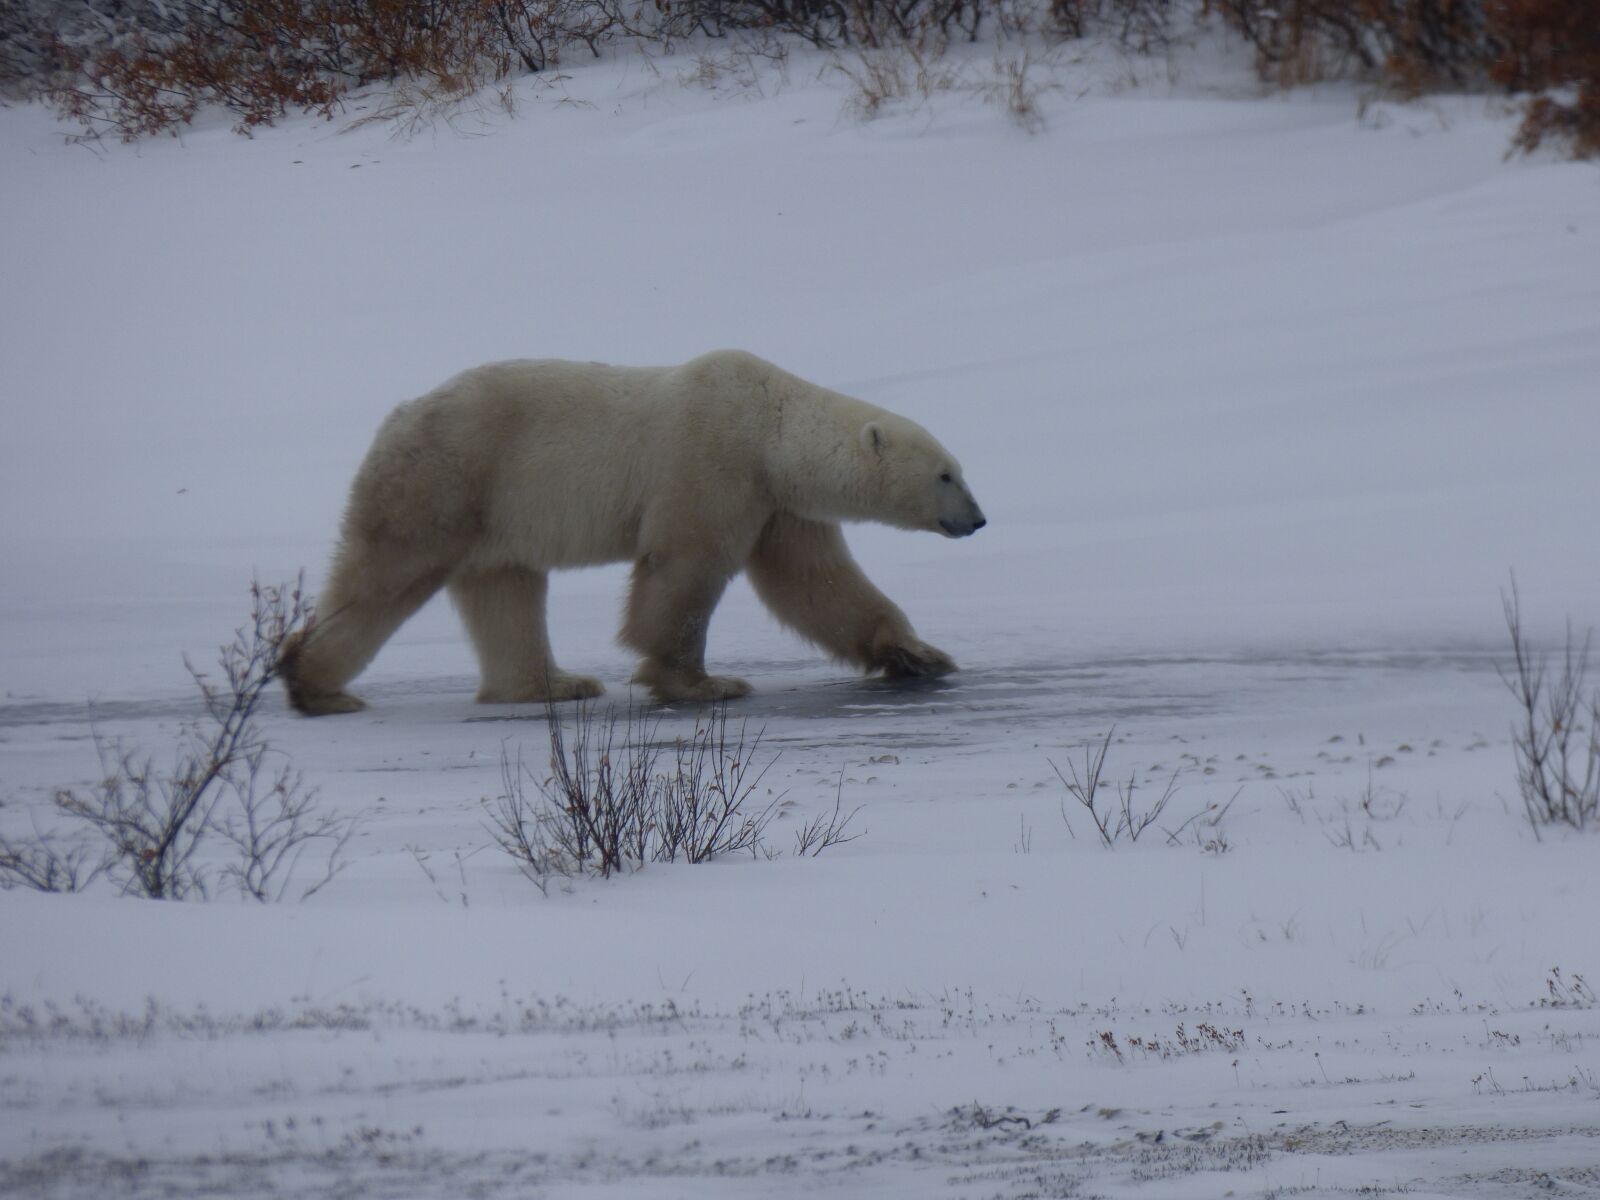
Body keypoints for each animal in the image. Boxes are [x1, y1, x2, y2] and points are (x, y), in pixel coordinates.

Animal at [281, 352, 979, 720]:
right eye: (946, 473)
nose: (978, 519)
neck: (770, 427)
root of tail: (396, 417)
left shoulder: (778, 504)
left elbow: (816, 585)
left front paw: (919, 655)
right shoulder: (712, 460)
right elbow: (684, 570)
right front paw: (704, 683)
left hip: (497, 514)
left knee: (505, 593)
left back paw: (553, 684)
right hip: (447, 479)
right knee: (386, 574)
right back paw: (315, 683)